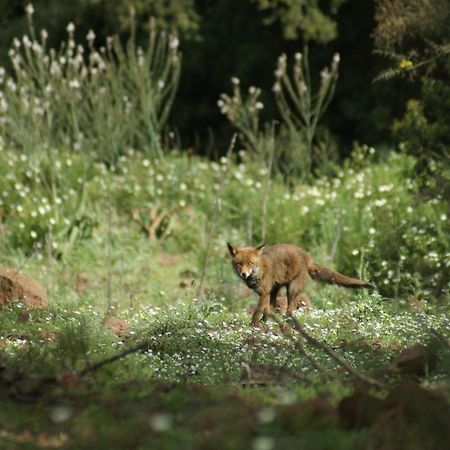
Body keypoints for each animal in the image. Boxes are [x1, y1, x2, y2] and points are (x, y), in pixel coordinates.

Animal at [227, 244, 374, 326]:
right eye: (239, 263)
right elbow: (266, 310)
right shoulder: (267, 292)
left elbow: (256, 313)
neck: (260, 270)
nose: (244, 274)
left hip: (292, 289)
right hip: (277, 288)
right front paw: (261, 323)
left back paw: (286, 322)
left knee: (290, 309)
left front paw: (253, 326)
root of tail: (307, 256)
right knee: (275, 307)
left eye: (251, 263)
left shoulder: (264, 293)